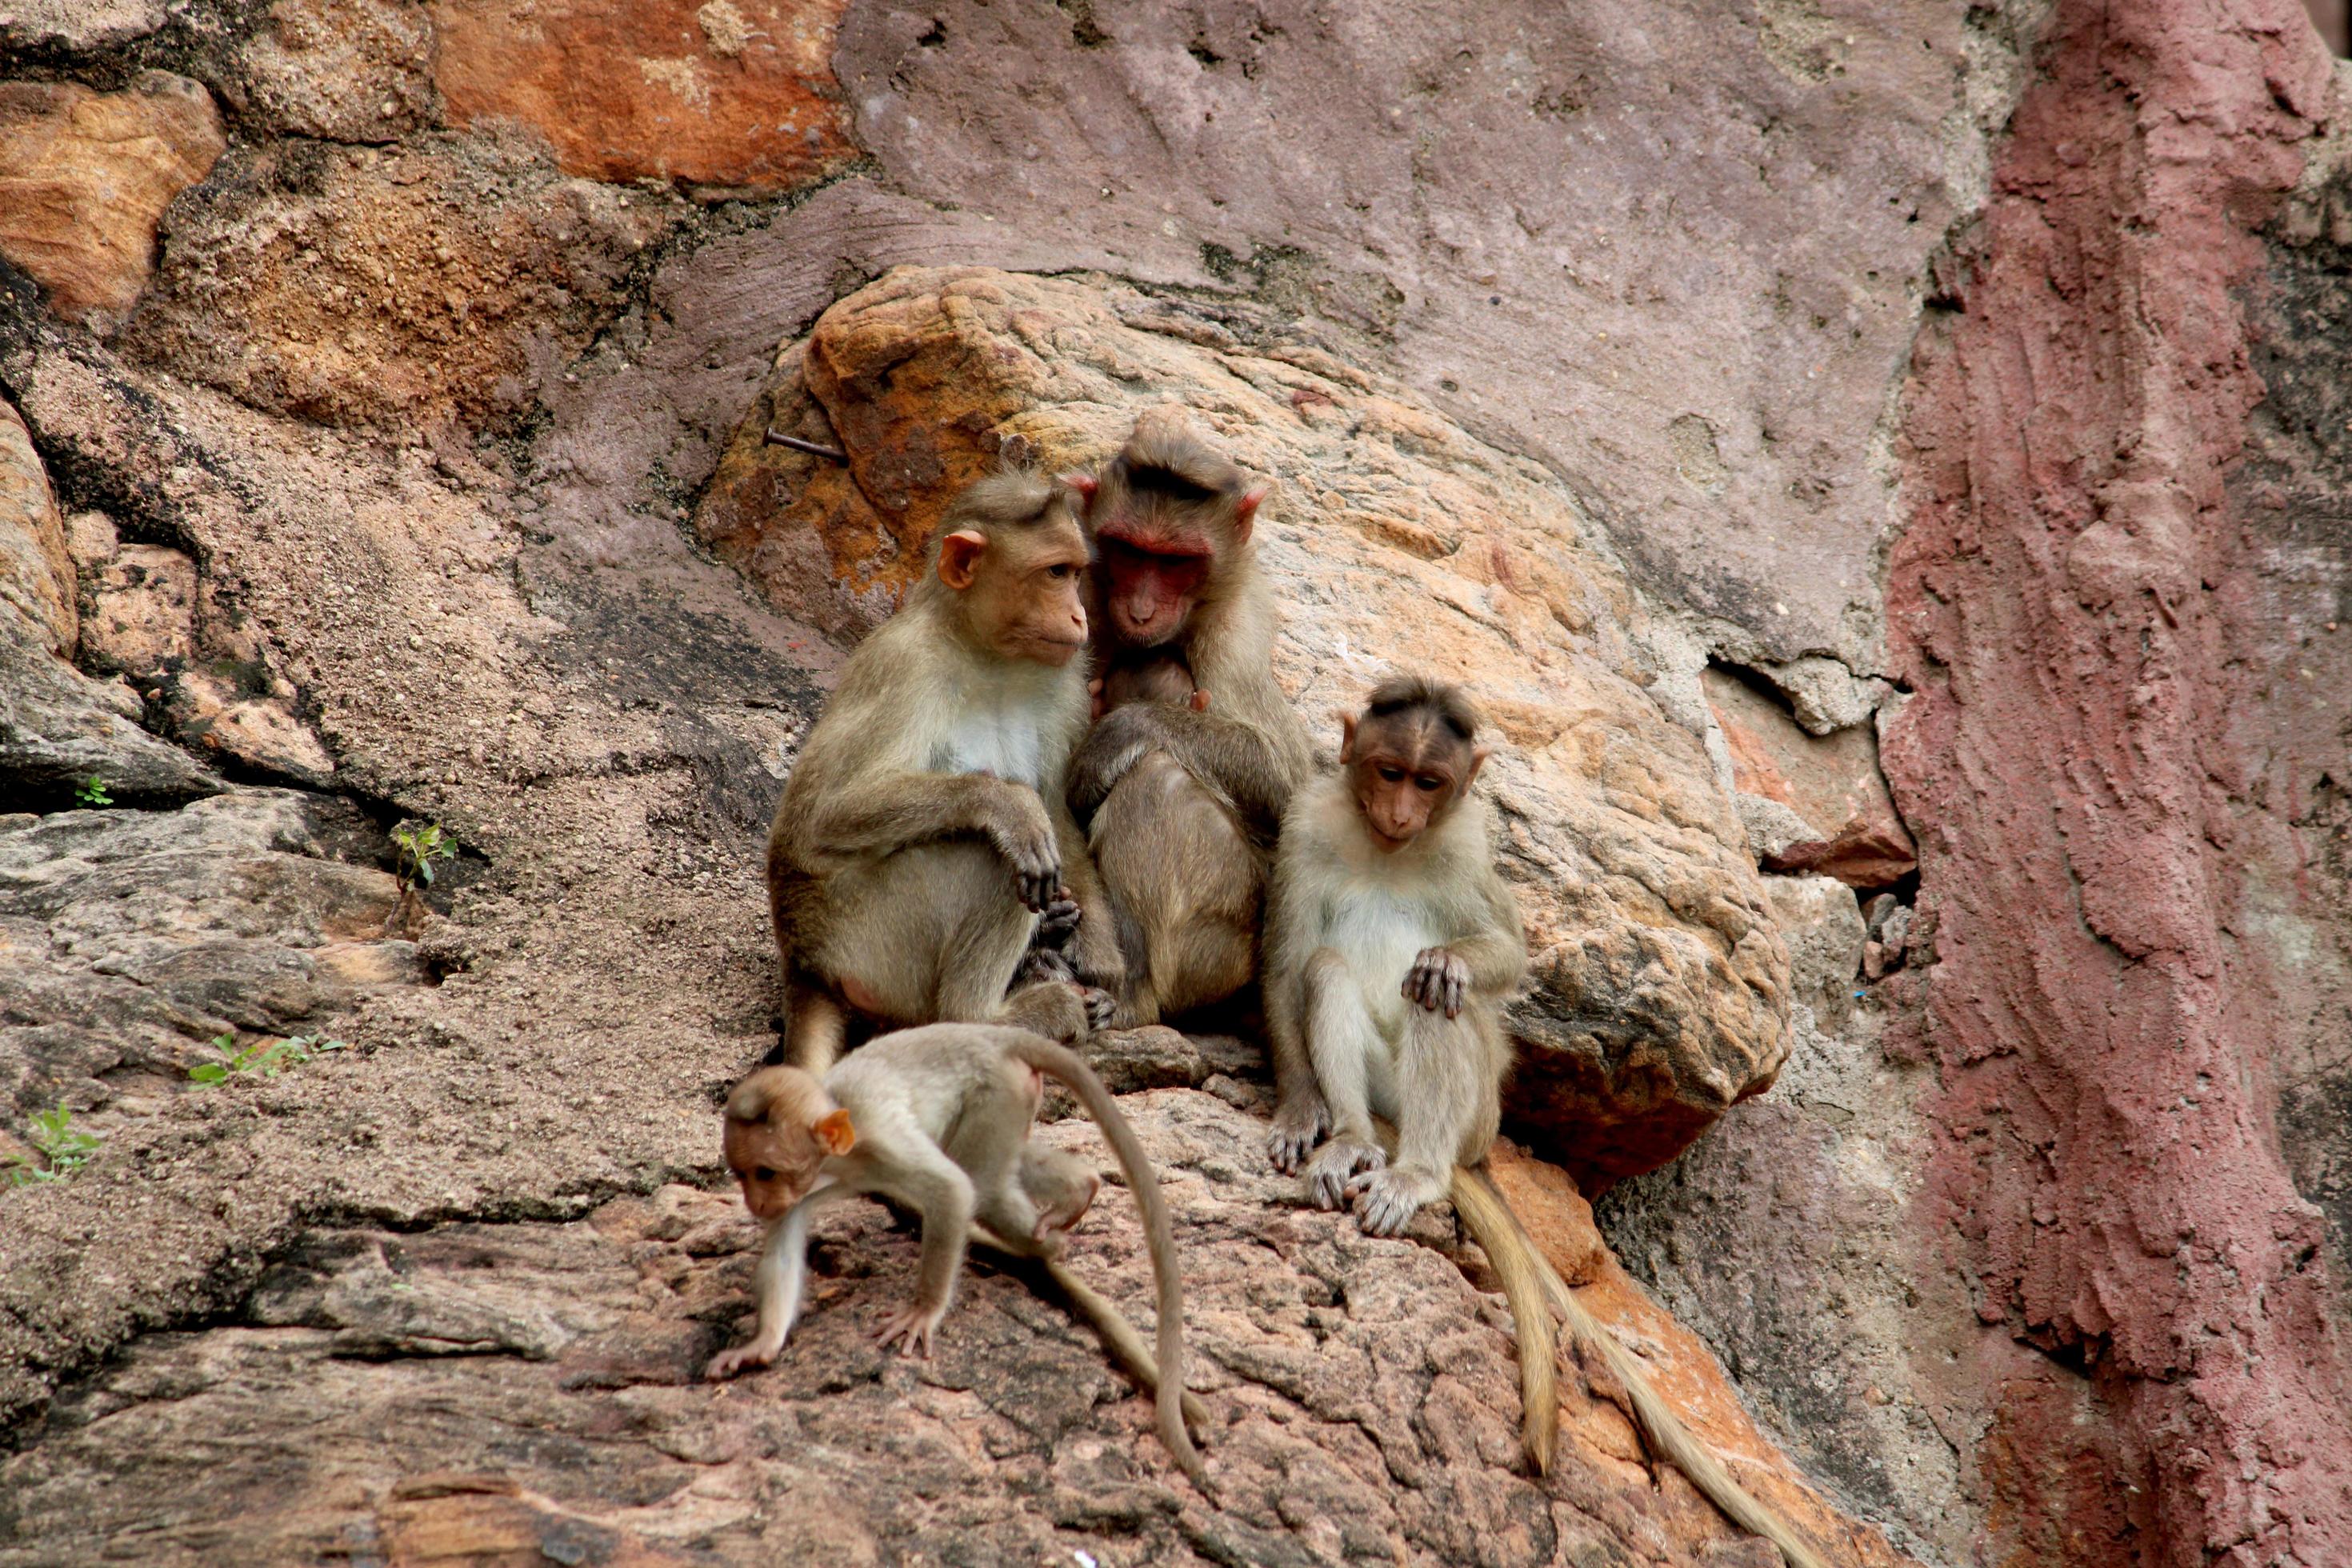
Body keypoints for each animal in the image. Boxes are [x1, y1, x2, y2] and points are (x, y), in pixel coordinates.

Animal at [706, 1020, 1204, 1486]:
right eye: (742, 1174)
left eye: (766, 1173)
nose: (755, 1204)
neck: (840, 1155)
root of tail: (994, 1036)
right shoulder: (805, 1188)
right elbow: (784, 1250)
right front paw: (760, 1345)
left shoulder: (882, 1138)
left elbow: (952, 1190)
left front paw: (922, 1312)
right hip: (1016, 1097)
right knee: (1002, 1169)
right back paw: (1082, 1188)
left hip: (998, 1095)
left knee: (982, 1185)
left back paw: (1052, 1239)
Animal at [757, 472, 1114, 1071]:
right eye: (1054, 573)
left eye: (1074, 572)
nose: (1079, 617)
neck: (988, 655)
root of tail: (804, 961)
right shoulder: (904, 665)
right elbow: (820, 817)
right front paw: (1009, 806)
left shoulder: (1067, 684)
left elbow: (1057, 806)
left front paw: (1101, 962)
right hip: (870, 941)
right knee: (992, 857)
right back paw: (988, 1015)